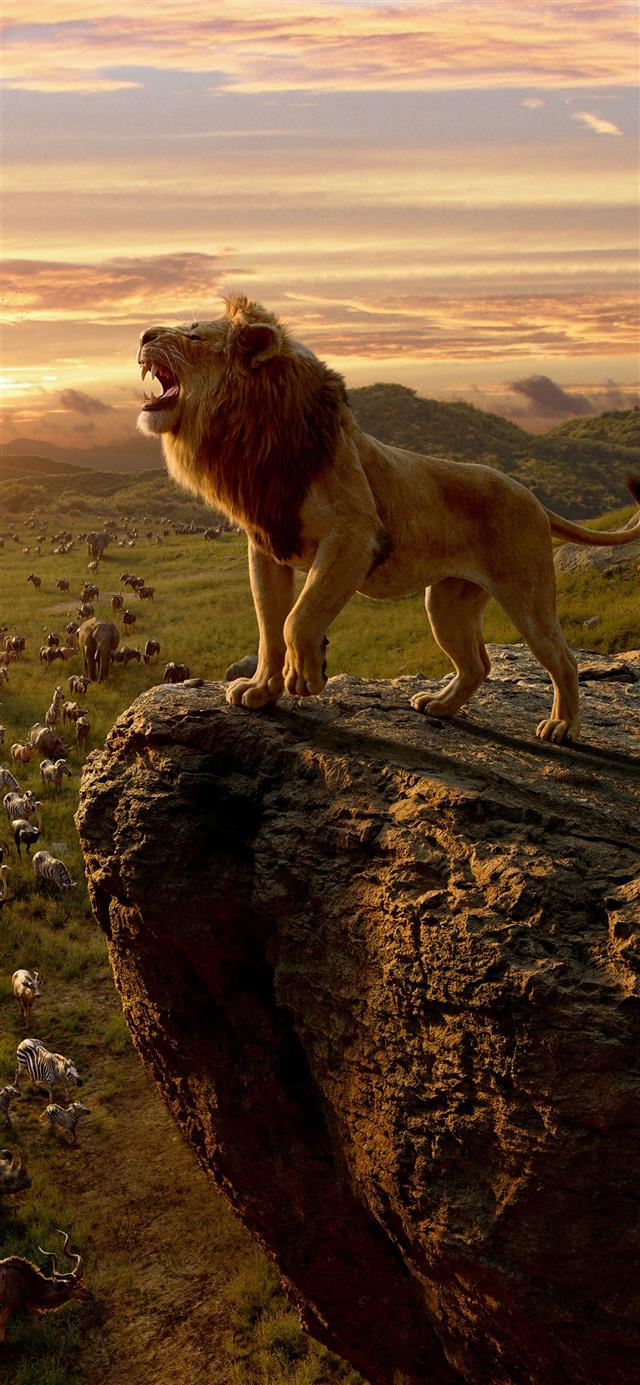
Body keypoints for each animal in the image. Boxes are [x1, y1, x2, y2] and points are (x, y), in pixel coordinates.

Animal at [137, 296, 640, 743]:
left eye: (192, 334)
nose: (143, 335)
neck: (251, 438)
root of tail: (532, 496)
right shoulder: (266, 546)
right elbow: (268, 627)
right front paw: (261, 691)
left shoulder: (354, 537)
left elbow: (298, 617)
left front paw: (307, 676)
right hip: (448, 603)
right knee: (477, 663)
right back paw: (439, 705)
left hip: (527, 595)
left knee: (564, 659)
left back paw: (562, 727)